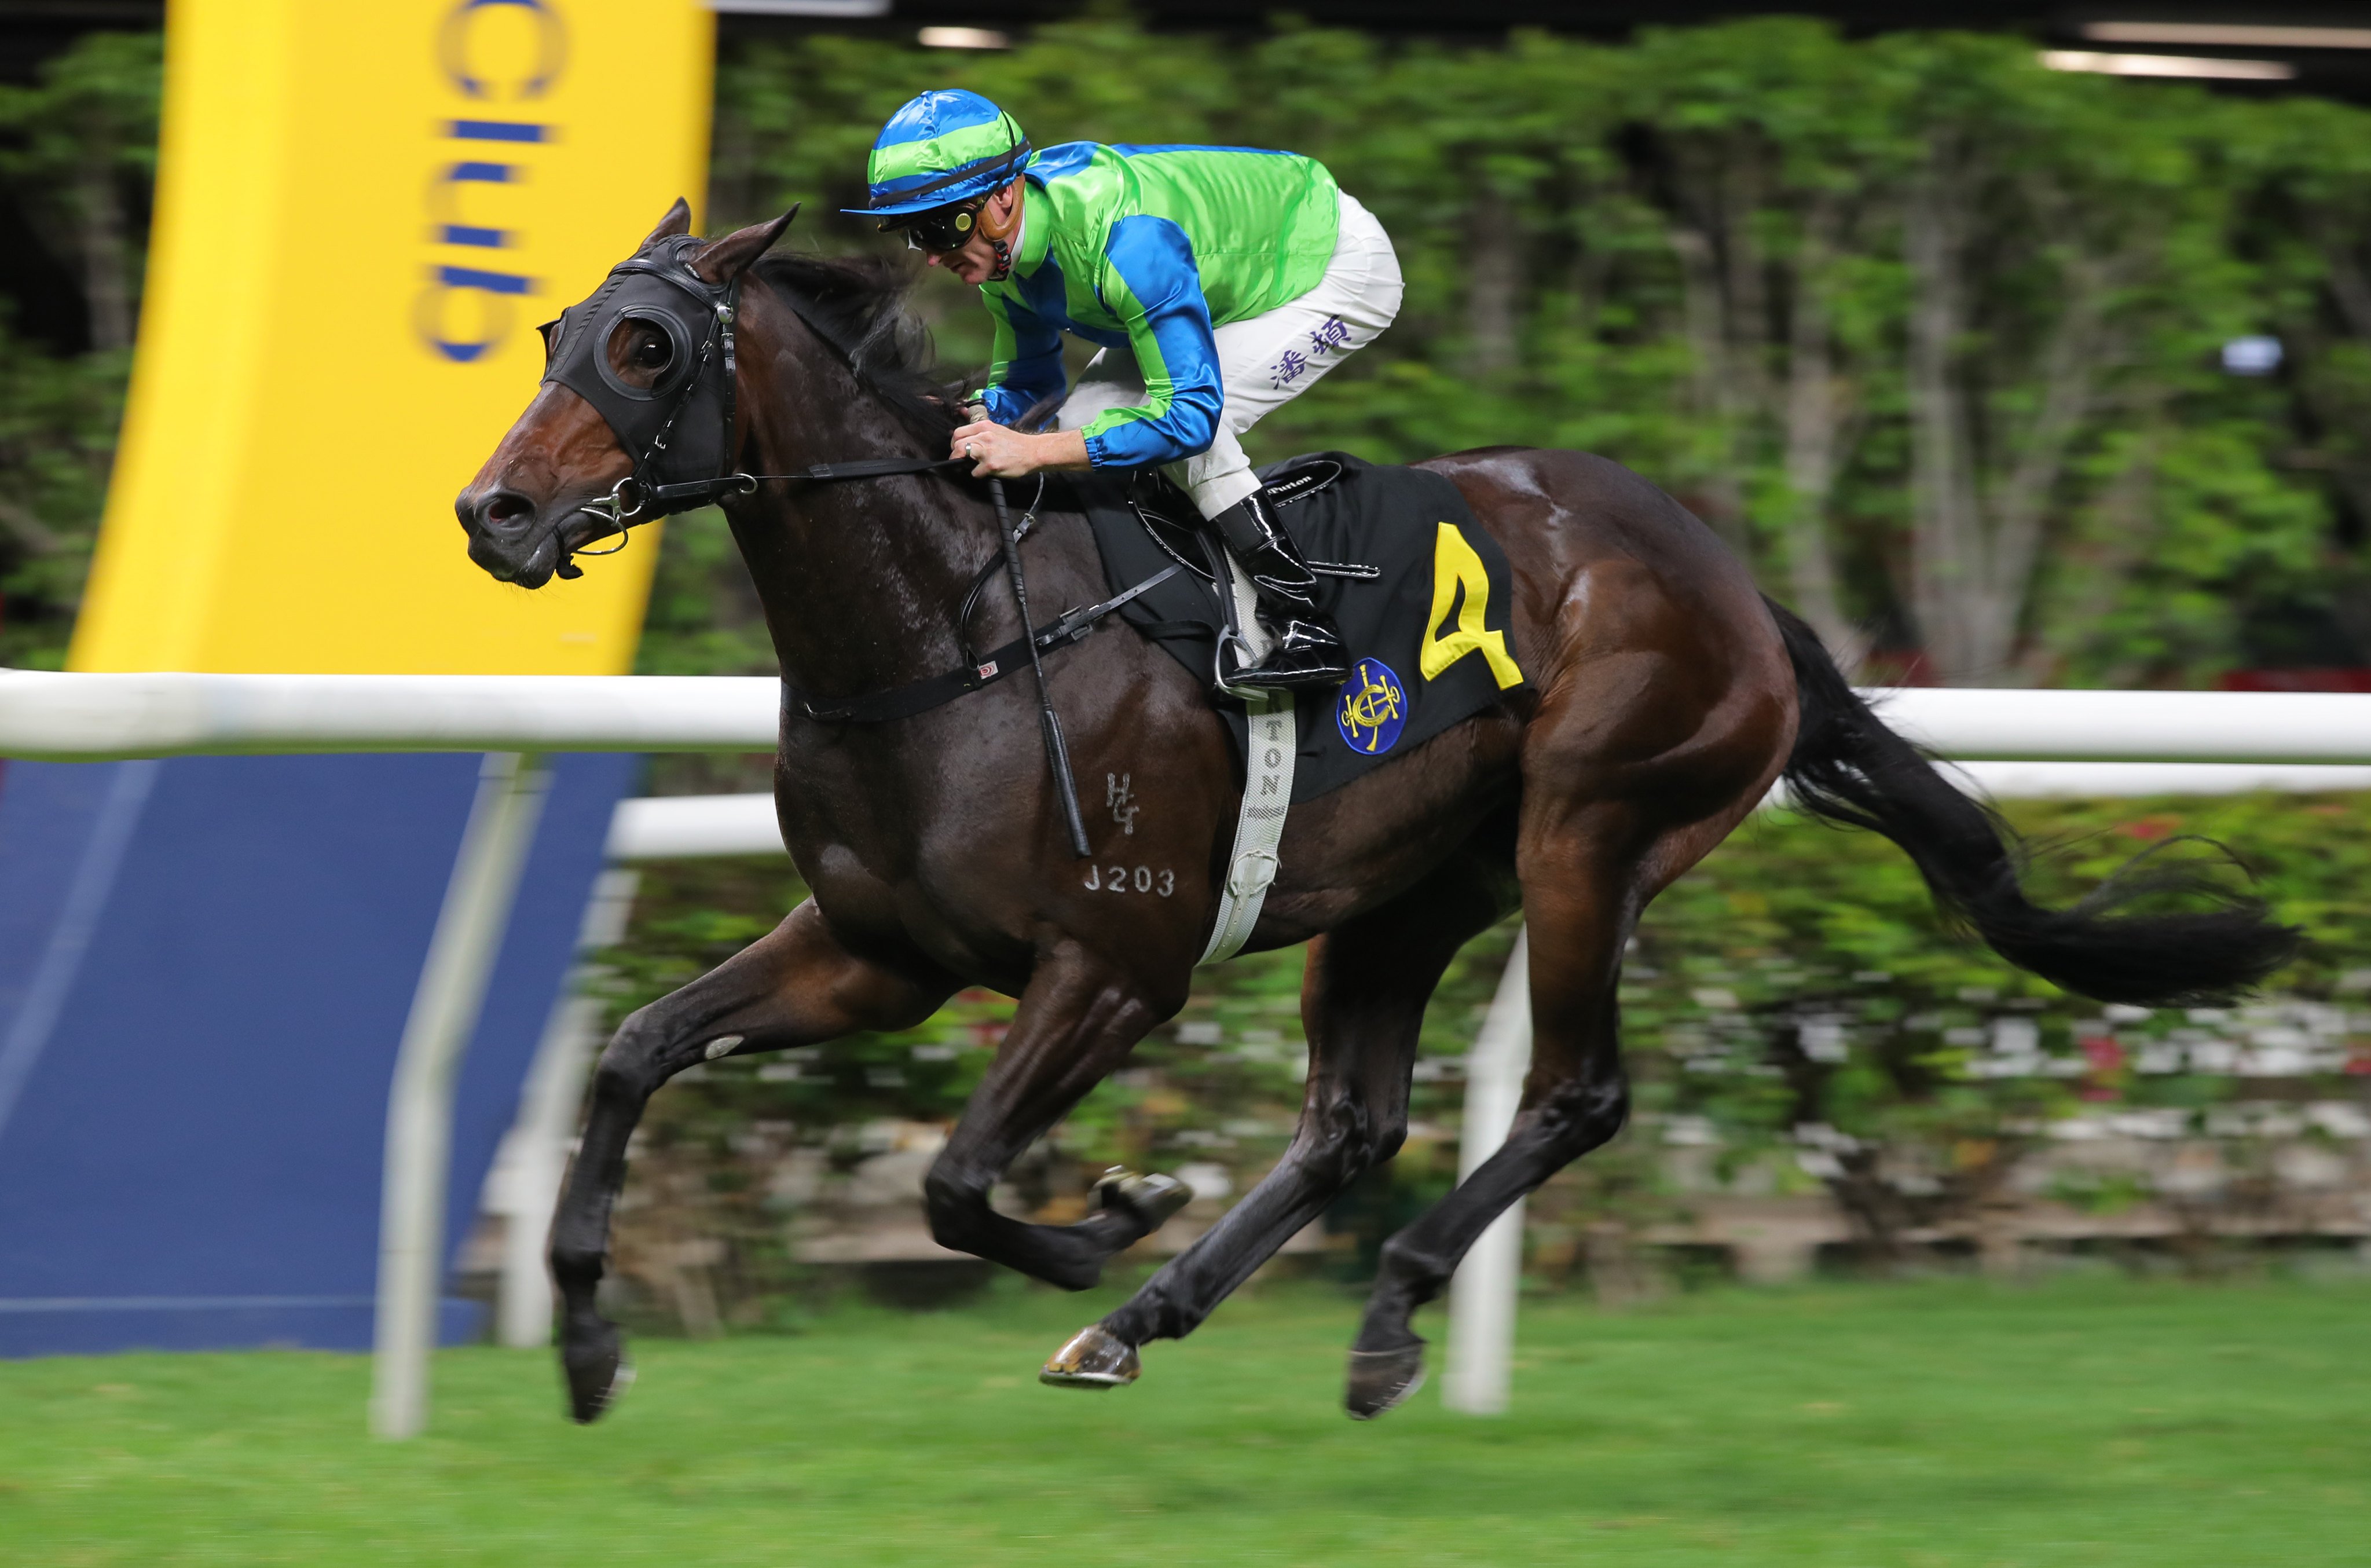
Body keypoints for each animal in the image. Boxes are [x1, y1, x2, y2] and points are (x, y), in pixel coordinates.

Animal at [453, 205, 2285, 1423]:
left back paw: (1380, 1311)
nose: (494, 511)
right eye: (550, 334)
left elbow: (959, 1179)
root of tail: (1737, 584)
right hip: (1408, 889)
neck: (951, 626)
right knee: (1349, 1118)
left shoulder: (1118, 963)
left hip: (1591, 831)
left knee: (1575, 1092)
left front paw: (1104, 1216)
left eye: (647, 348)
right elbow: (633, 1050)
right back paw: (1148, 1316)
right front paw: (588, 1336)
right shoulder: (876, 950)